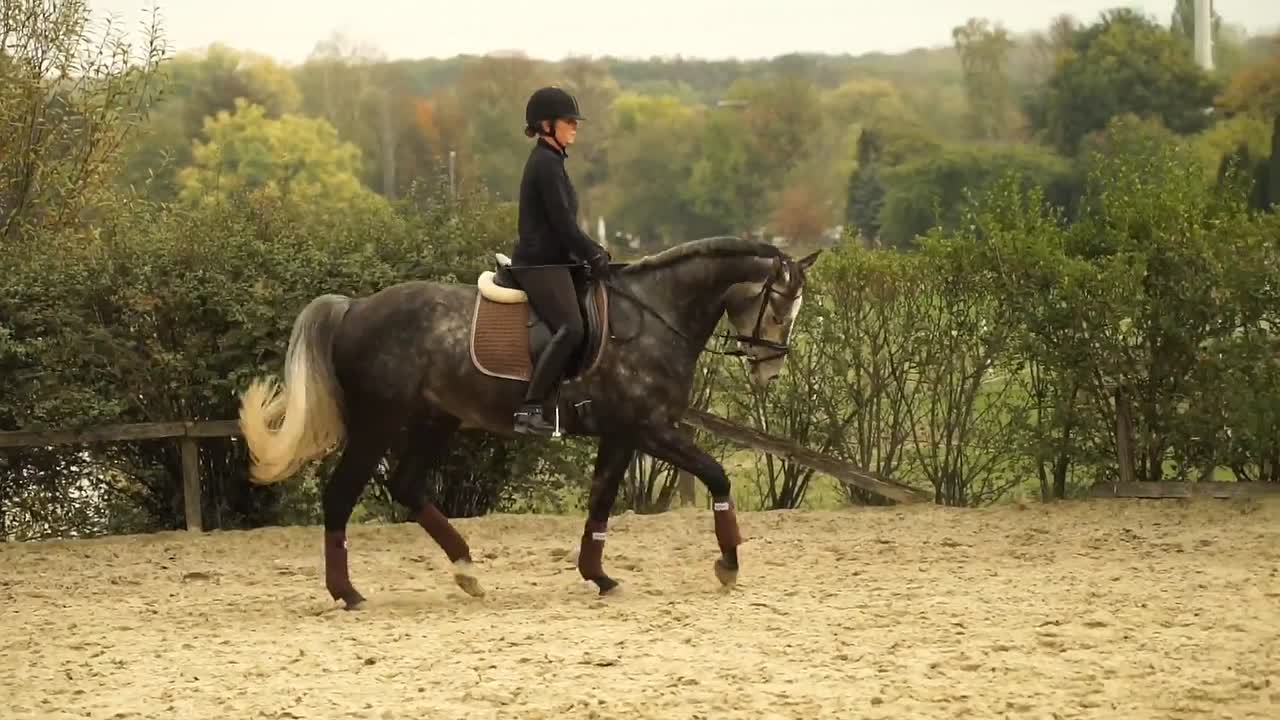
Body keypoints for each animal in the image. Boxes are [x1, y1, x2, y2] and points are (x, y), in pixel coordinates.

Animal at [237, 235, 819, 608]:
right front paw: (729, 565)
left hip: (435, 420)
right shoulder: (652, 428)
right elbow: (716, 475)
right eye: (777, 305)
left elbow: (601, 501)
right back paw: (348, 592)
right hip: (377, 425)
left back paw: (467, 571)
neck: (655, 316)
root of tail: (354, 308)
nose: (769, 369)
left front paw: (599, 576)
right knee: (341, 496)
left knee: (407, 486)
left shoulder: (622, 433)